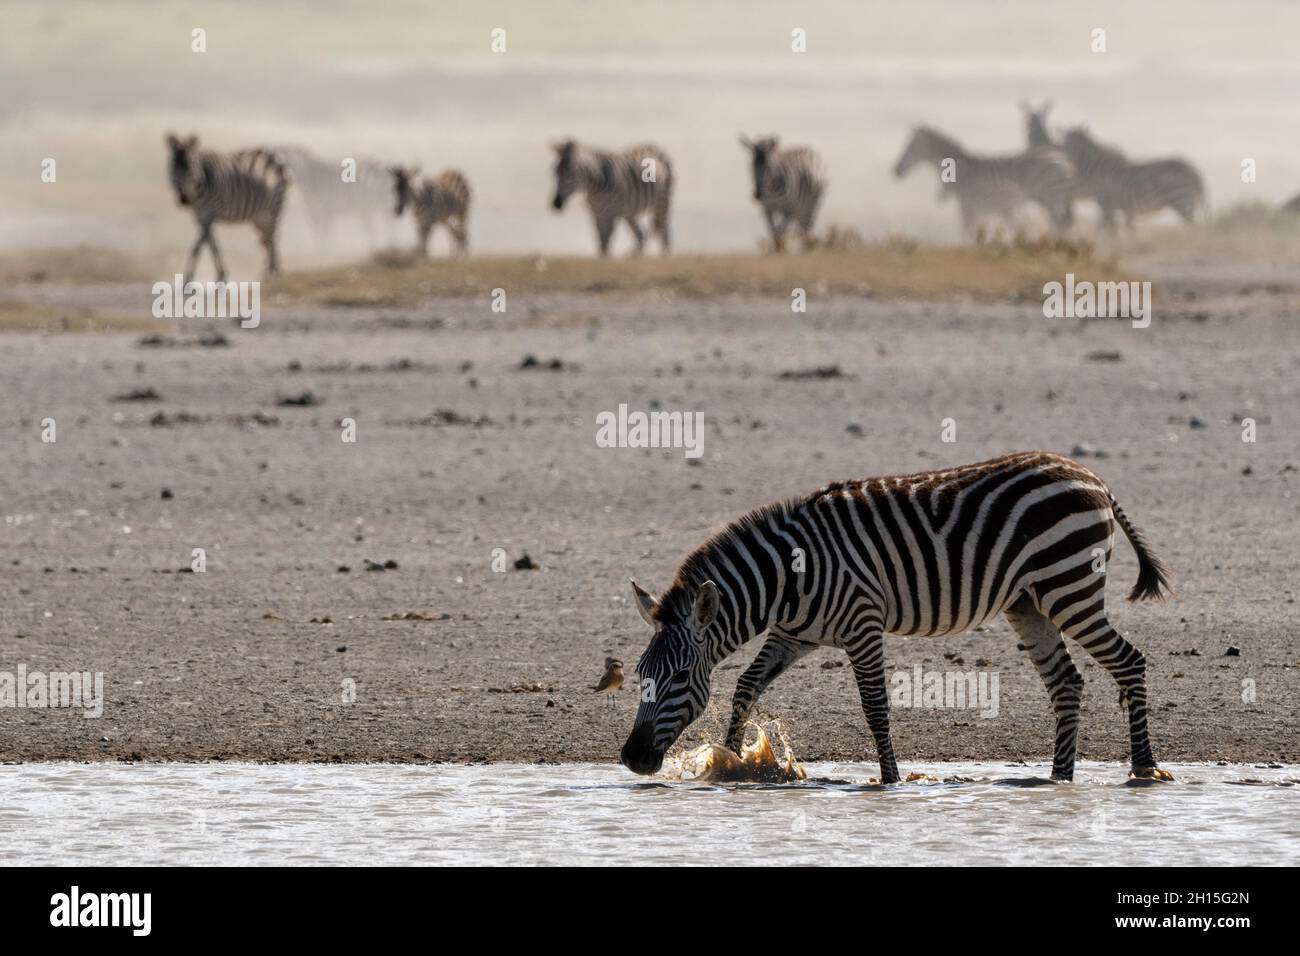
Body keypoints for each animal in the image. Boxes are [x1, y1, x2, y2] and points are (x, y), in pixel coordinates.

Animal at [165, 134, 289, 283]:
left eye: (189, 167)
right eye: (172, 166)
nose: (183, 199)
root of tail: (273, 156)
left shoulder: (210, 213)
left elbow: (198, 246)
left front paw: (188, 278)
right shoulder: (201, 216)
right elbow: (213, 245)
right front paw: (221, 275)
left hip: (274, 208)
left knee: (272, 237)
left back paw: (271, 273)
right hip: (259, 216)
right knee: (268, 239)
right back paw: (272, 272)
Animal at [548, 138, 676, 256]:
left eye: (571, 173)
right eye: (555, 172)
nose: (556, 204)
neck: (594, 188)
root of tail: (653, 147)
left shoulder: (610, 214)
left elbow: (606, 242)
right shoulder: (597, 214)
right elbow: (600, 242)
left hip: (662, 202)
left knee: (664, 230)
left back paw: (665, 255)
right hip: (629, 211)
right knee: (641, 235)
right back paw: (634, 255)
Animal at [621, 452, 1180, 790]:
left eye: (677, 677)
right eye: (640, 676)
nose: (631, 758)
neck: (787, 578)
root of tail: (1092, 477)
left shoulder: (862, 625)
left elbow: (875, 707)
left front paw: (889, 780)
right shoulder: (793, 635)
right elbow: (745, 686)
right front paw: (733, 762)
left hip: (1069, 588)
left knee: (1129, 661)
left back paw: (1144, 769)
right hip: (1030, 603)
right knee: (1066, 682)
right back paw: (1058, 779)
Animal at [894, 125, 1076, 239]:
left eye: (910, 147)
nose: (895, 170)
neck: (957, 167)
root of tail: (1063, 159)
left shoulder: (967, 203)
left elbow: (968, 231)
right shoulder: (976, 206)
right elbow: (973, 230)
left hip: (1048, 196)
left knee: (1058, 223)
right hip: (1050, 198)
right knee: (1059, 223)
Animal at [1060, 126, 1201, 232]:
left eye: (1068, 143)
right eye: (1064, 142)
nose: (1059, 151)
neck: (1099, 169)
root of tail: (1190, 168)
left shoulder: (1105, 203)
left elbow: (1105, 231)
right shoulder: (1108, 205)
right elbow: (1109, 229)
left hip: (1180, 199)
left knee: (1192, 224)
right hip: (1185, 200)